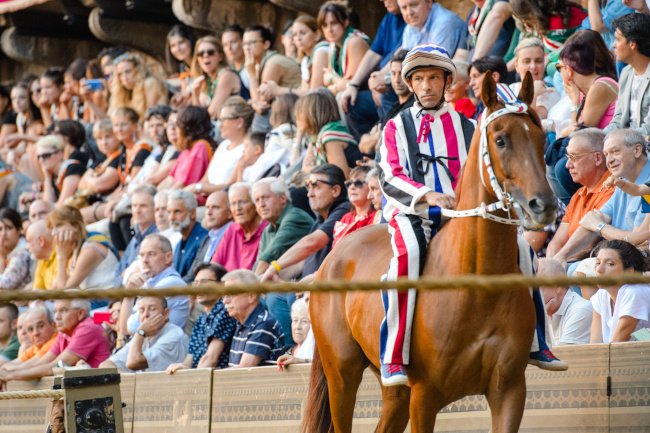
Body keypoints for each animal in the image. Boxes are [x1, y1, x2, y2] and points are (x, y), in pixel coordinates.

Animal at [302, 71, 556, 432]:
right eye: (501, 140)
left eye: (540, 137)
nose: (543, 205)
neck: (478, 283)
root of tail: (333, 257)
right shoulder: (425, 395)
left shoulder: (508, 390)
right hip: (342, 375)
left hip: (394, 391)